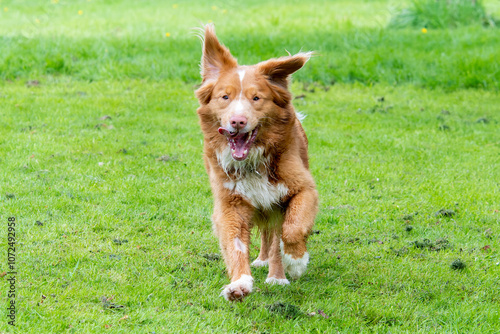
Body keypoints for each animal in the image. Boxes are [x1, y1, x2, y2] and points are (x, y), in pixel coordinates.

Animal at [193, 23, 318, 300]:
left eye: (256, 98)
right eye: (225, 97)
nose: (237, 121)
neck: (253, 162)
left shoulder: (303, 189)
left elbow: (292, 229)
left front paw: (296, 261)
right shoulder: (230, 204)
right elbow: (235, 245)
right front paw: (240, 283)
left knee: (276, 235)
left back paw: (277, 275)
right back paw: (263, 261)